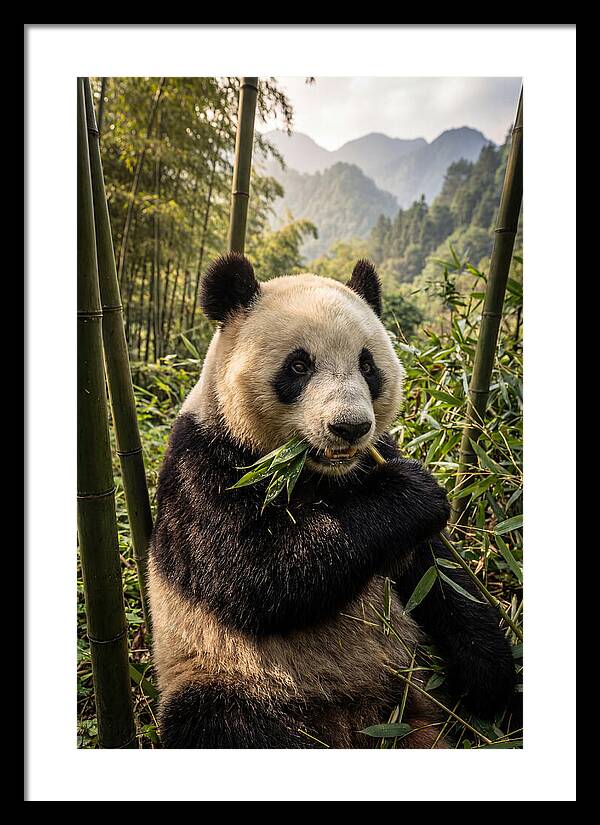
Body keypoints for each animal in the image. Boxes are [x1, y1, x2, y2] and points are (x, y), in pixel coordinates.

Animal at [148, 253, 516, 749]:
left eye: (367, 365)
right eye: (299, 366)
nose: (350, 427)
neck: (316, 473)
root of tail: (358, 722)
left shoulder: (376, 461)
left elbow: (440, 578)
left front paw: (489, 678)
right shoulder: (203, 464)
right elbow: (255, 573)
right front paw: (412, 493)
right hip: (227, 673)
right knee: (221, 722)